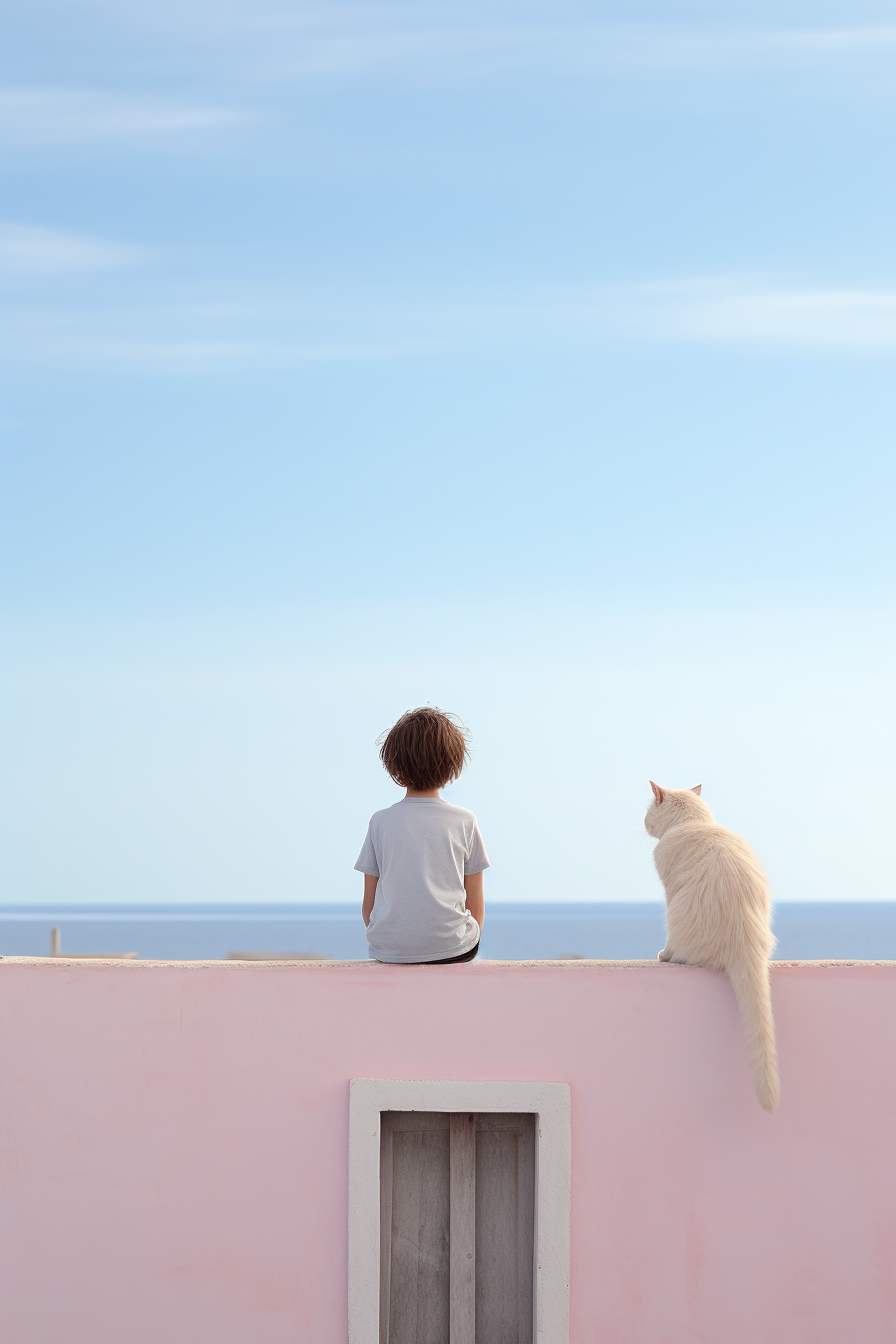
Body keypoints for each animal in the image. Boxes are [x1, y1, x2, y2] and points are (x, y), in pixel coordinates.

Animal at [644, 784, 779, 1107]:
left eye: (647, 811)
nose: (643, 822)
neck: (695, 823)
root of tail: (744, 939)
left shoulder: (669, 889)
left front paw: (663, 953)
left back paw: (669, 956)